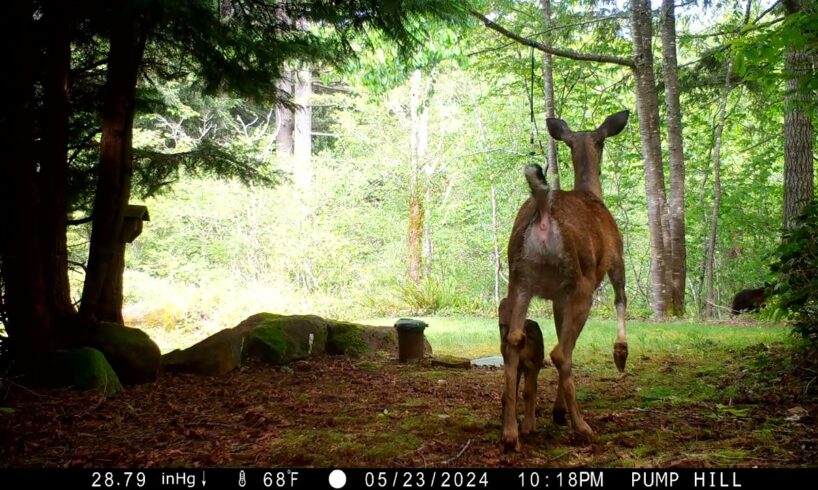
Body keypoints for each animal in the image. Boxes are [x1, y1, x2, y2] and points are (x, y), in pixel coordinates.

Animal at [499, 110, 630, 451]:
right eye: (601, 142)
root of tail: (544, 211)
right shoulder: (615, 258)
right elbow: (620, 300)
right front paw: (621, 353)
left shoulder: (558, 296)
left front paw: (555, 411)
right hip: (581, 281)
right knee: (561, 352)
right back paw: (582, 426)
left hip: (519, 278)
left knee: (515, 341)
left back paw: (511, 434)